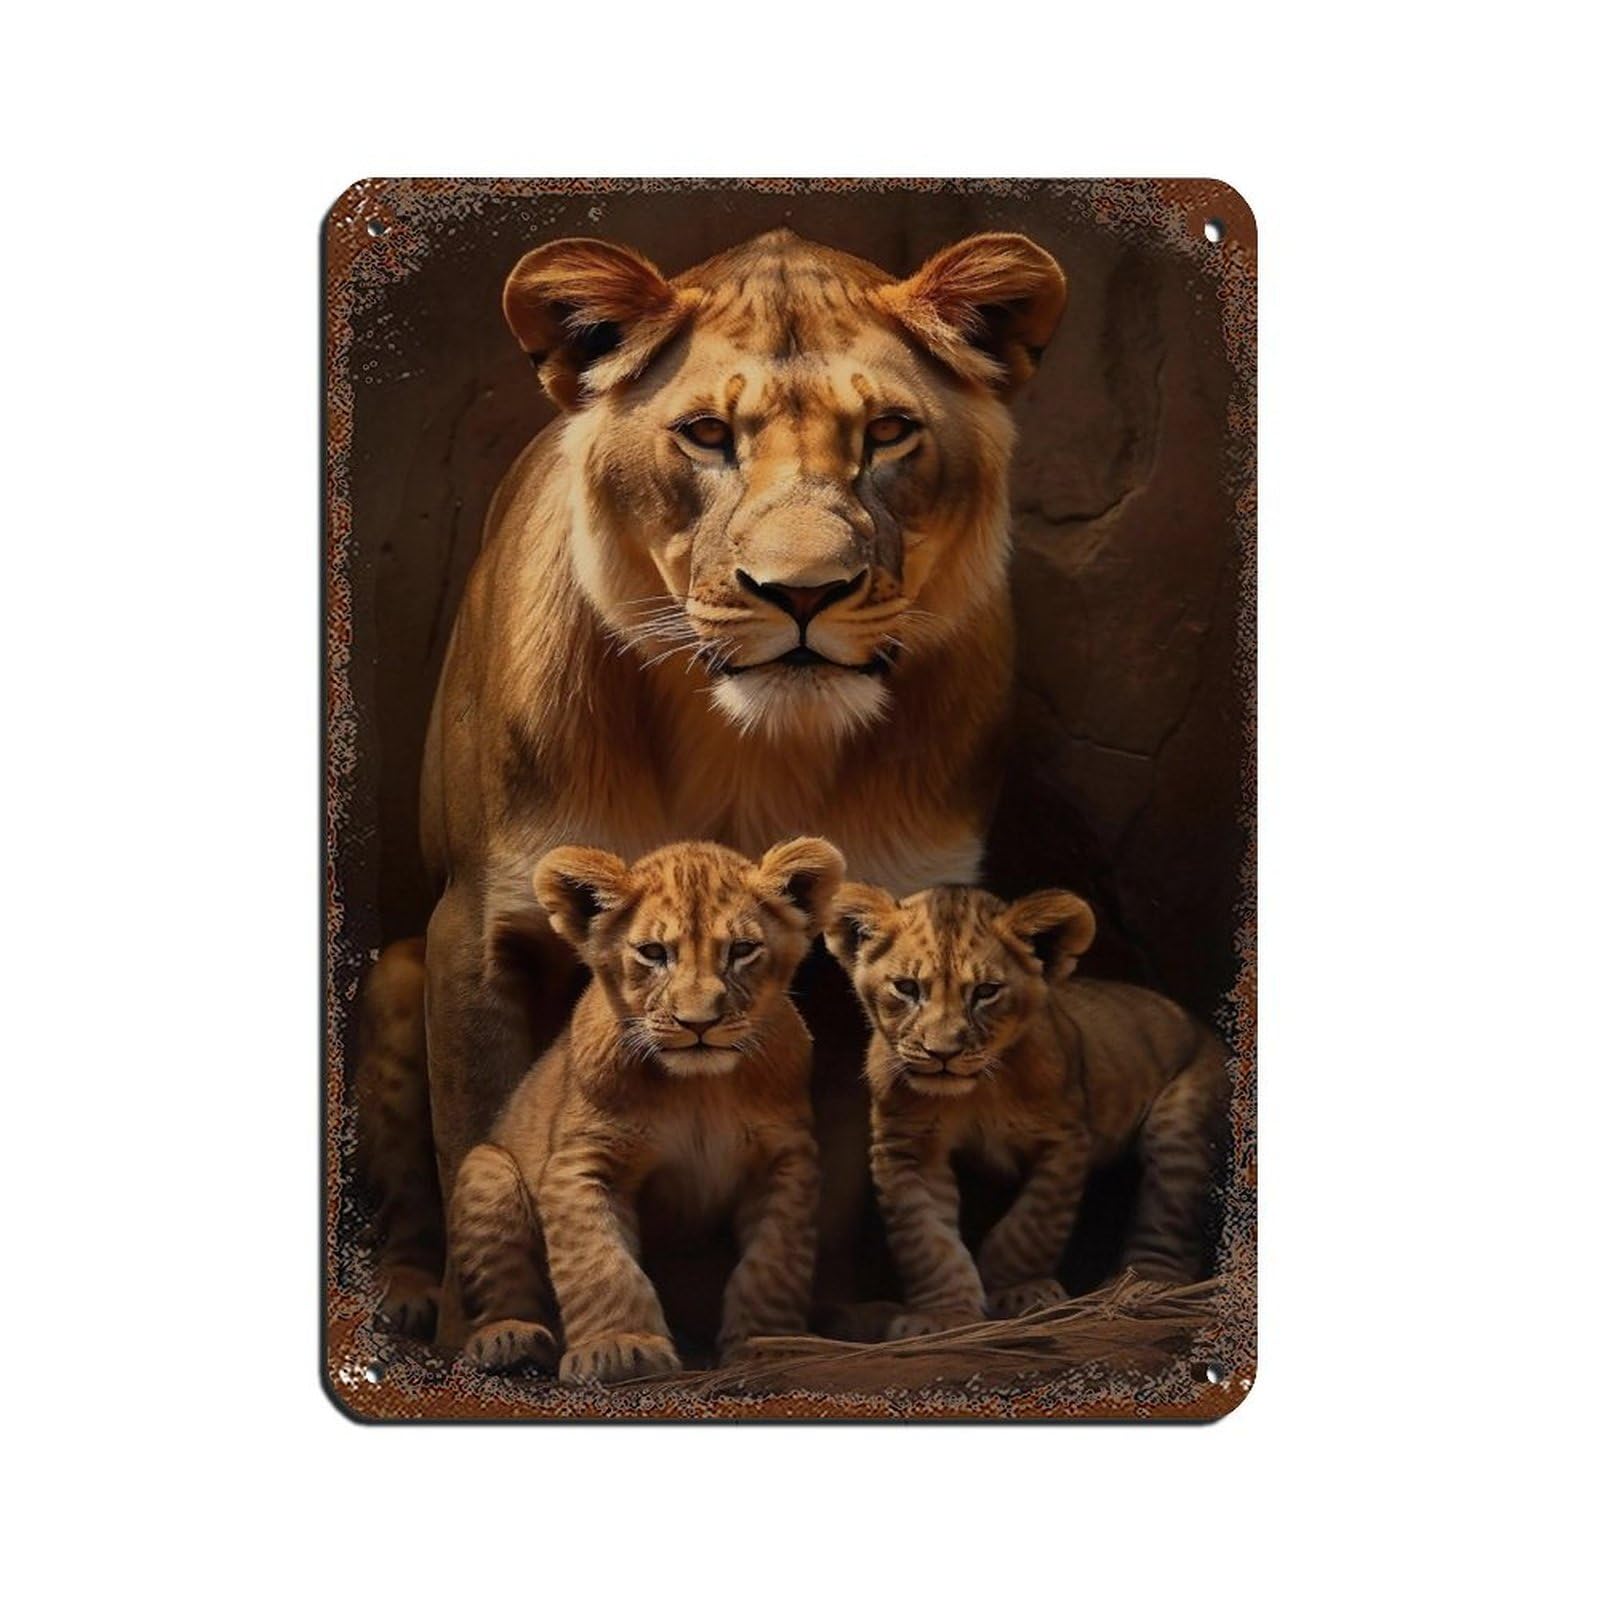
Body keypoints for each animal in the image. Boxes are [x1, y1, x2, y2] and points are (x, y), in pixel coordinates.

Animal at [355, 226, 1066, 1337]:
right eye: (705, 435)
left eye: (890, 432)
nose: (803, 593)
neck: (752, 750)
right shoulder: (480, 924)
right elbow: (479, 1135)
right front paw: (489, 1333)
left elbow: (834, 1164)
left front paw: (816, 1317)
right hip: (394, 968)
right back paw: (405, 1293)